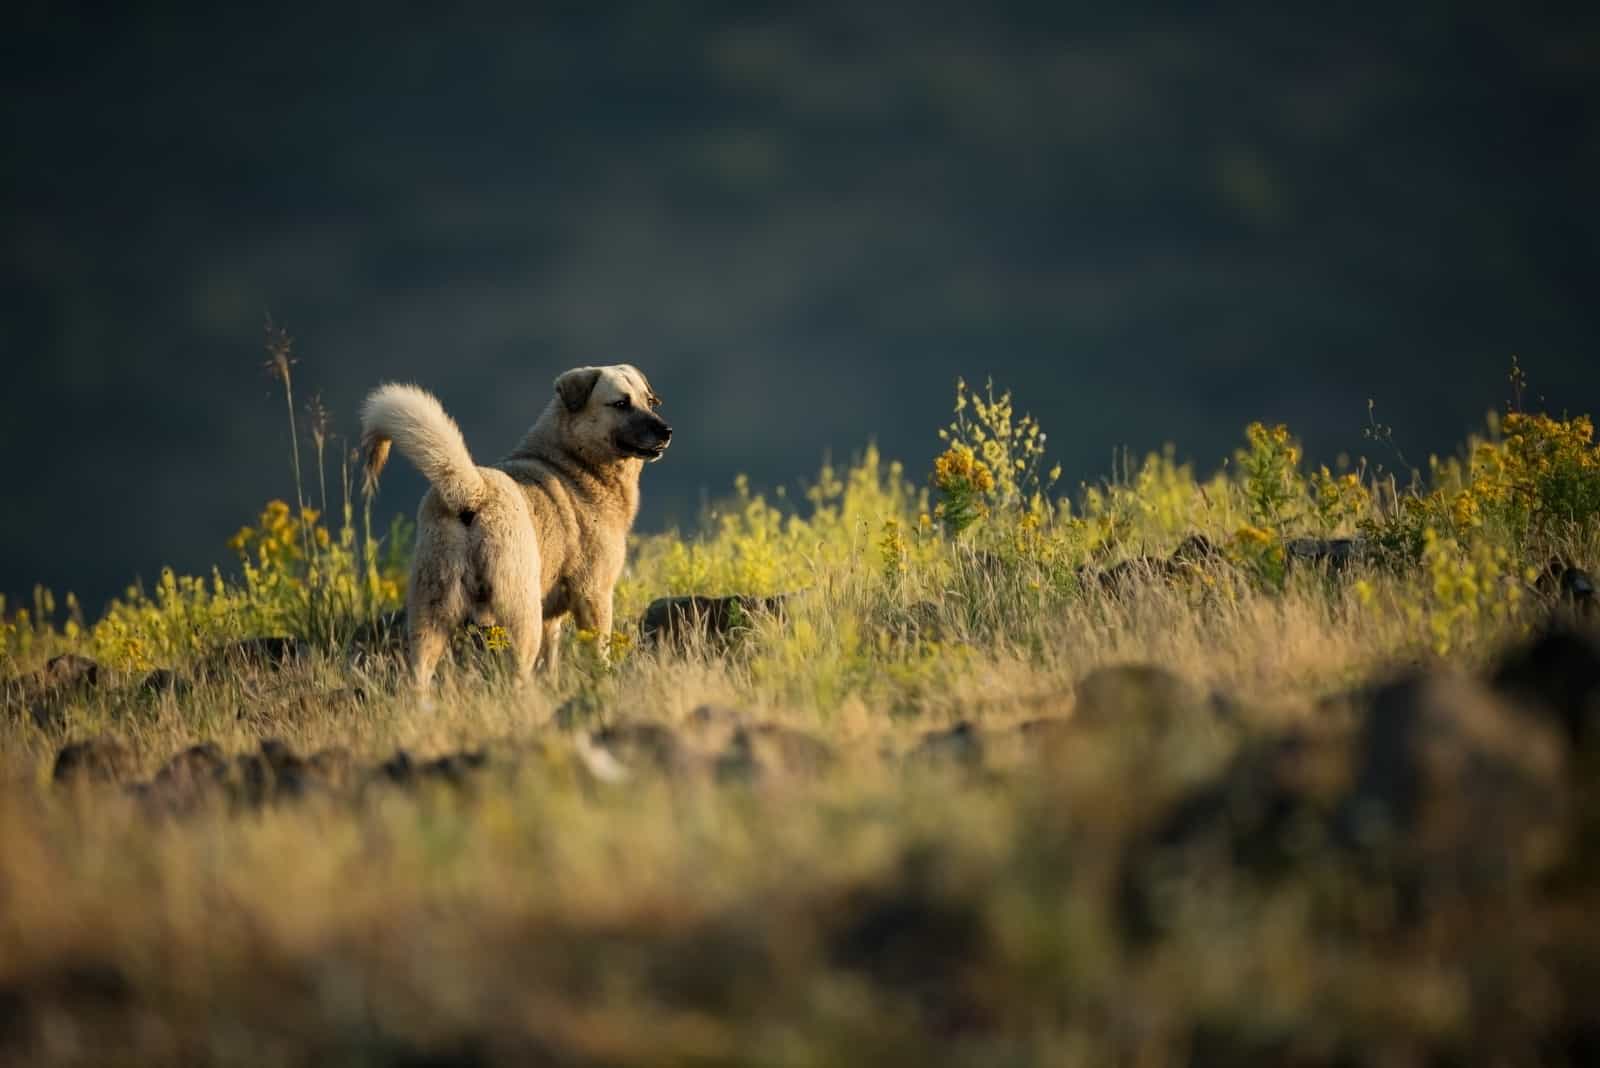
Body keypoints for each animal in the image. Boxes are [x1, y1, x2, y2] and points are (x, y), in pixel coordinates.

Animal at [361, 362, 668, 687]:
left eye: (649, 401)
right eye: (621, 403)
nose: (667, 431)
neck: (574, 464)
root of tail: (473, 491)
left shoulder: (551, 617)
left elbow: (550, 659)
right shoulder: (593, 594)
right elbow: (599, 652)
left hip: (429, 616)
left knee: (417, 678)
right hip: (520, 616)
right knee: (518, 675)